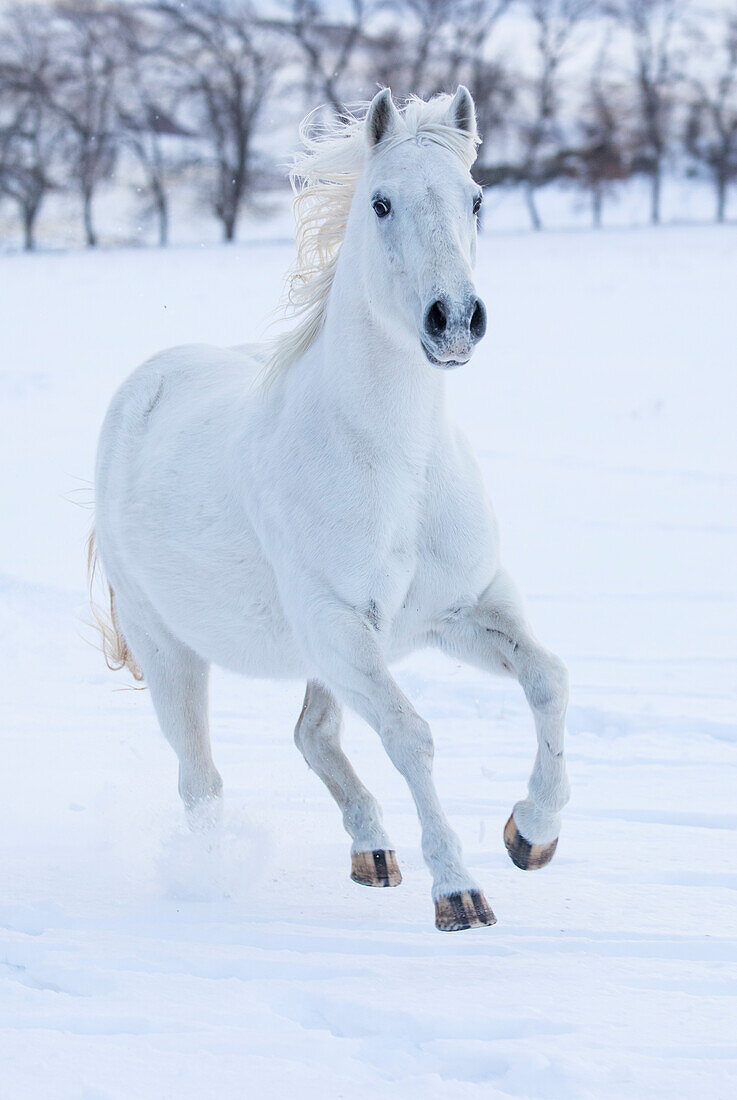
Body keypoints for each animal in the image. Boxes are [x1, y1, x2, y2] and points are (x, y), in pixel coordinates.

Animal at [90, 88, 572, 928]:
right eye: (380, 202)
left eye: (475, 198)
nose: (454, 320)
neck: (398, 469)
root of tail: (145, 383)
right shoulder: (342, 627)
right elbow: (410, 735)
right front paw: (458, 892)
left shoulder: (462, 611)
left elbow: (547, 679)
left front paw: (529, 834)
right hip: (171, 647)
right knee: (200, 779)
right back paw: (211, 881)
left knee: (311, 735)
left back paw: (372, 853)